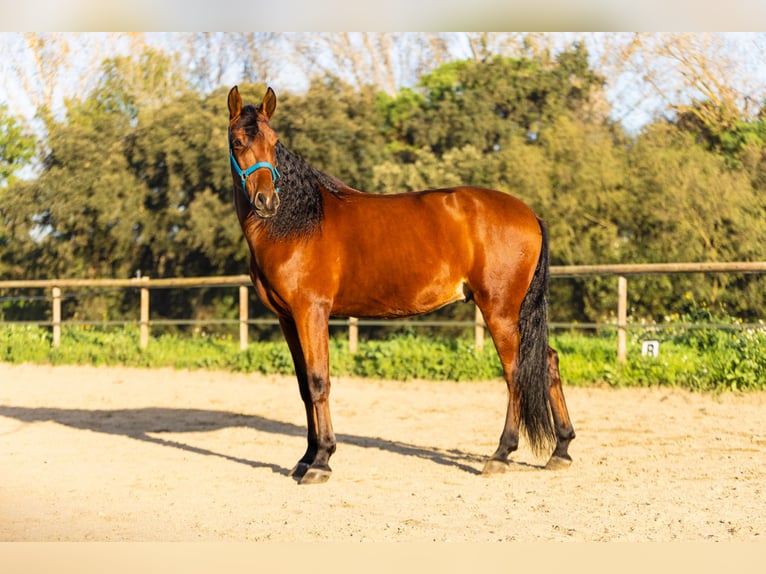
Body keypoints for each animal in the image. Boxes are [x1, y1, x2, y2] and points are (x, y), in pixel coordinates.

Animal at [227, 86, 575, 484]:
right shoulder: (287, 318)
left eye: (274, 142)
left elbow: (318, 382)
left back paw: (501, 454)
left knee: (515, 372)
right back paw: (561, 450)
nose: (267, 201)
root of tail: (531, 215)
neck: (296, 223)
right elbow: (303, 386)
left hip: (500, 311)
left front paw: (322, 461)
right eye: (238, 142)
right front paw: (305, 457)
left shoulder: (310, 312)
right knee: (547, 361)